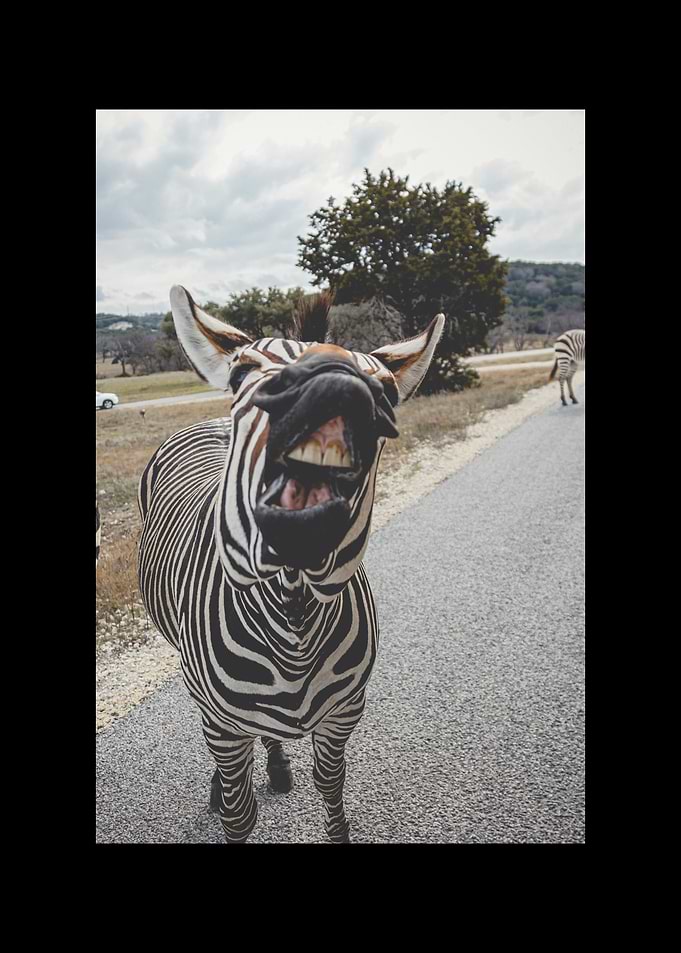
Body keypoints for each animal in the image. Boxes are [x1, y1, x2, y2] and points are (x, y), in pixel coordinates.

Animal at [137, 286, 444, 843]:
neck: (293, 622)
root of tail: (211, 424)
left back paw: (277, 768)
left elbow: (331, 785)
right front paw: (228, 800)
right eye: (241, 374)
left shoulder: (345, 714)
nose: (332, 380)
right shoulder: (222, 723)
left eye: (387, 391)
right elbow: (239, 813)